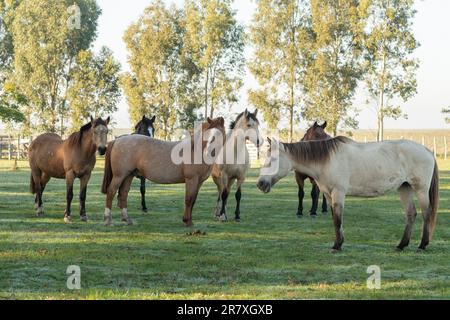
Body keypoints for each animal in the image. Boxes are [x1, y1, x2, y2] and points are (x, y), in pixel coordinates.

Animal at [256, 136, 440, 251]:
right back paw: (401, 245)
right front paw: (338, 243)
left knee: (427, 214)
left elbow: (338, 219)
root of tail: (427, 151)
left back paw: (422, 245)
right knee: (411, 214)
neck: (326, 160)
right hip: (404, 188)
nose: (260, 184)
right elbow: (334, 219)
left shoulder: (338, 193)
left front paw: (337, 246)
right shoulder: (328, 195)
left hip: (420, 189)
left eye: (273, 160)